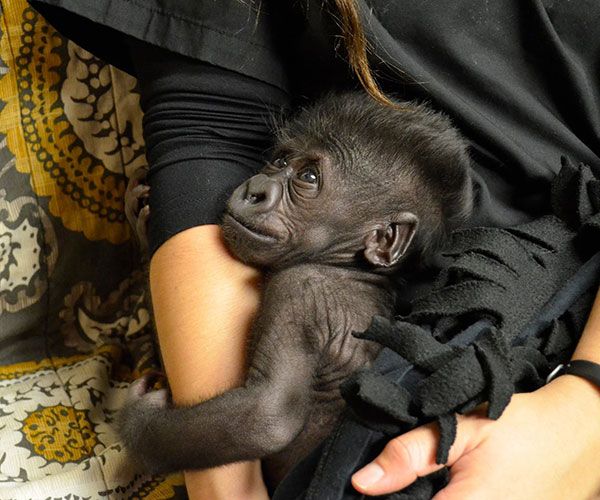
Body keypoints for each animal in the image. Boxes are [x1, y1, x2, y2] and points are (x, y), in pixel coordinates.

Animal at [118, 91, 474, 484]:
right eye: (279, 161)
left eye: (308, 176)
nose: (254, 189)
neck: (349, 267)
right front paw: (142, 224)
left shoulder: (299, 290)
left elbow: (266, 416)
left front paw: (138, 423)